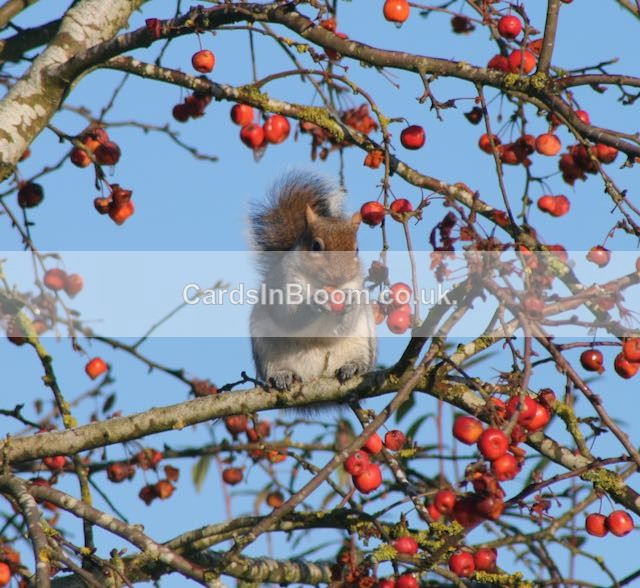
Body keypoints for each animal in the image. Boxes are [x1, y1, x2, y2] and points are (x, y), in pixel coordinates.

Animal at [249, 172, 377, 398]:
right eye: (316, 246)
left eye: (356, 249)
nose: (339, 276)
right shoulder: (284, 284)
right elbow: (288, 316)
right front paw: (314, 303)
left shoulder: (355, 285)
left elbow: (343, 325)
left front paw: (351, 303)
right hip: (266, 348)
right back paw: (283, 375)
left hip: (364, 341)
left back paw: (354, 366)